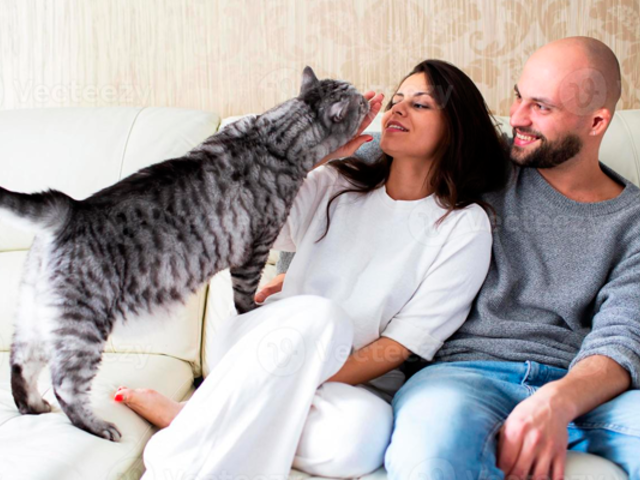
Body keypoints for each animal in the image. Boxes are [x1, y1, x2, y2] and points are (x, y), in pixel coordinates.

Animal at [0, 66, 369, 441]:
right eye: (358, 100)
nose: (369, 99)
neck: (272, 136)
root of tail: (70, 210)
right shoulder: (256, 246)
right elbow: (244, 295)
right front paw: (253, 310)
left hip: (36, 317)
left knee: (20, 364)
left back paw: (33, 406)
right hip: (83, 324)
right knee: (66, 384)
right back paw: (98, 426)